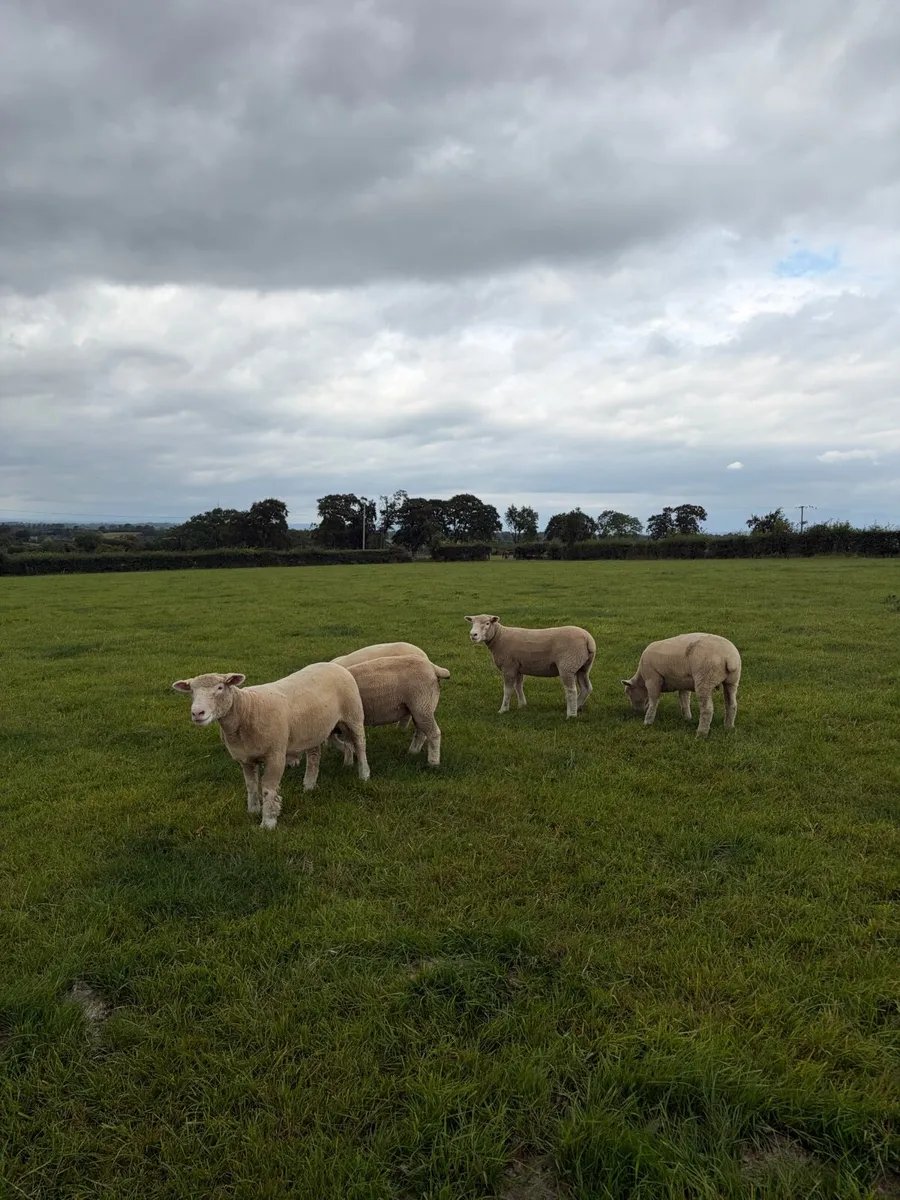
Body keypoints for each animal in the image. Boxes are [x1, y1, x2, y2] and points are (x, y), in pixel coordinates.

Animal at [171, 663, 370, 830]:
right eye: (191, 691)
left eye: (220, 688)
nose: (197, 713)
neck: (246, 710)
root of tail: (335, 664)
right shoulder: (245, 759)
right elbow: (251, 785)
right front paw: (253, 810)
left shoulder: (275, 755)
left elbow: (267, 789)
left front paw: (268, 822)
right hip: (314, 728)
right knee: (316, 755)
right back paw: (310, 784)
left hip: (354, 715)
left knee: (360, 744)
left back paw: (364, 774)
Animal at [465, 614, 596, 717]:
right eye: (472, 623)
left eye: (487, 623)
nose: (473, 635)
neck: (499, 636)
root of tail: (588, 639)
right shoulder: (517, 667)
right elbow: (518, 686)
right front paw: (522, 705)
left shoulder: (508, 667)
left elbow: (507, 690)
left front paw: (503, 710)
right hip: (583, 667)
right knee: (586, 688)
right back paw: (577, 706)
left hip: (567, 665)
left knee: (571, 690)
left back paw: (571, 714)